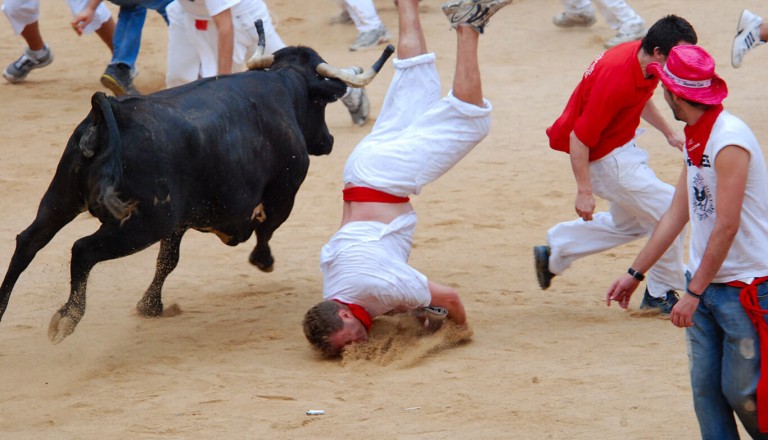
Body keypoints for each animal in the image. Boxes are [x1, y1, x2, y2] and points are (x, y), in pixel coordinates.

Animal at [0, 43, 392, 342]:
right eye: (322, 103)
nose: (328, 141)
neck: (283, 86)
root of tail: (111, 111)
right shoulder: (284, 192)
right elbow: (265, 229)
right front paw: (262, 260)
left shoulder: (179, 220)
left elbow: (168, 259)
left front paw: (150, 306)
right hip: (139, 225)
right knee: (82, 250)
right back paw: (66, 319)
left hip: (60, 199)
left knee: (28, 241)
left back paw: (2, 307)